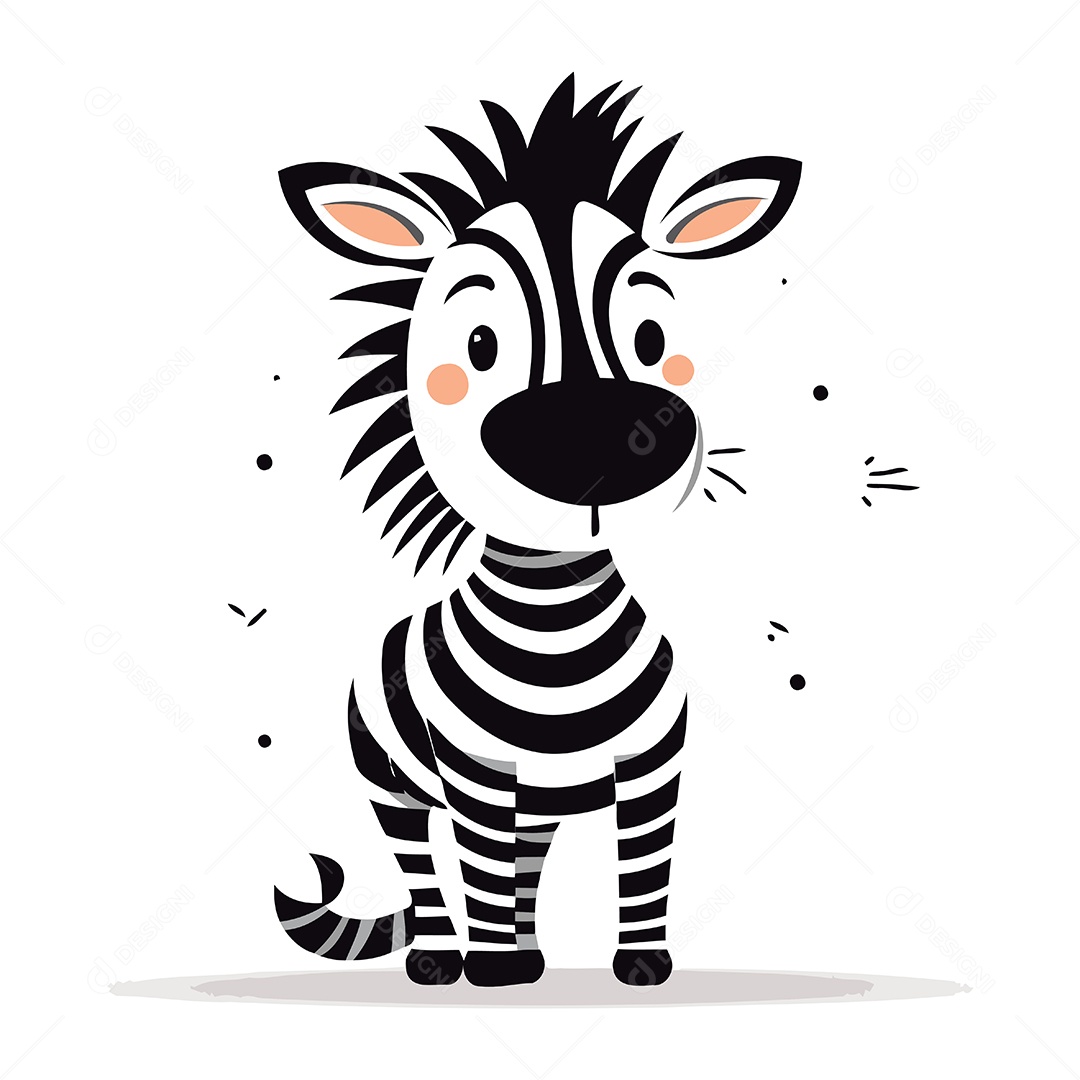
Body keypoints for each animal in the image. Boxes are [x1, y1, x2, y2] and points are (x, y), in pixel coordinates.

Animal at [273, 75, 801, 988]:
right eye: (480, 344)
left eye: (652, 338)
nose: (602, 441)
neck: (558, 627)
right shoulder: (479, 776)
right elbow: (476, 867)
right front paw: (490, 971)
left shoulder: (651, 767)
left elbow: (645, 868)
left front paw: (641, 965)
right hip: (394, 785)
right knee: (427, 867)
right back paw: (446, 961)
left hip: (544, 801)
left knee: (526, 866)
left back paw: (528, 954)